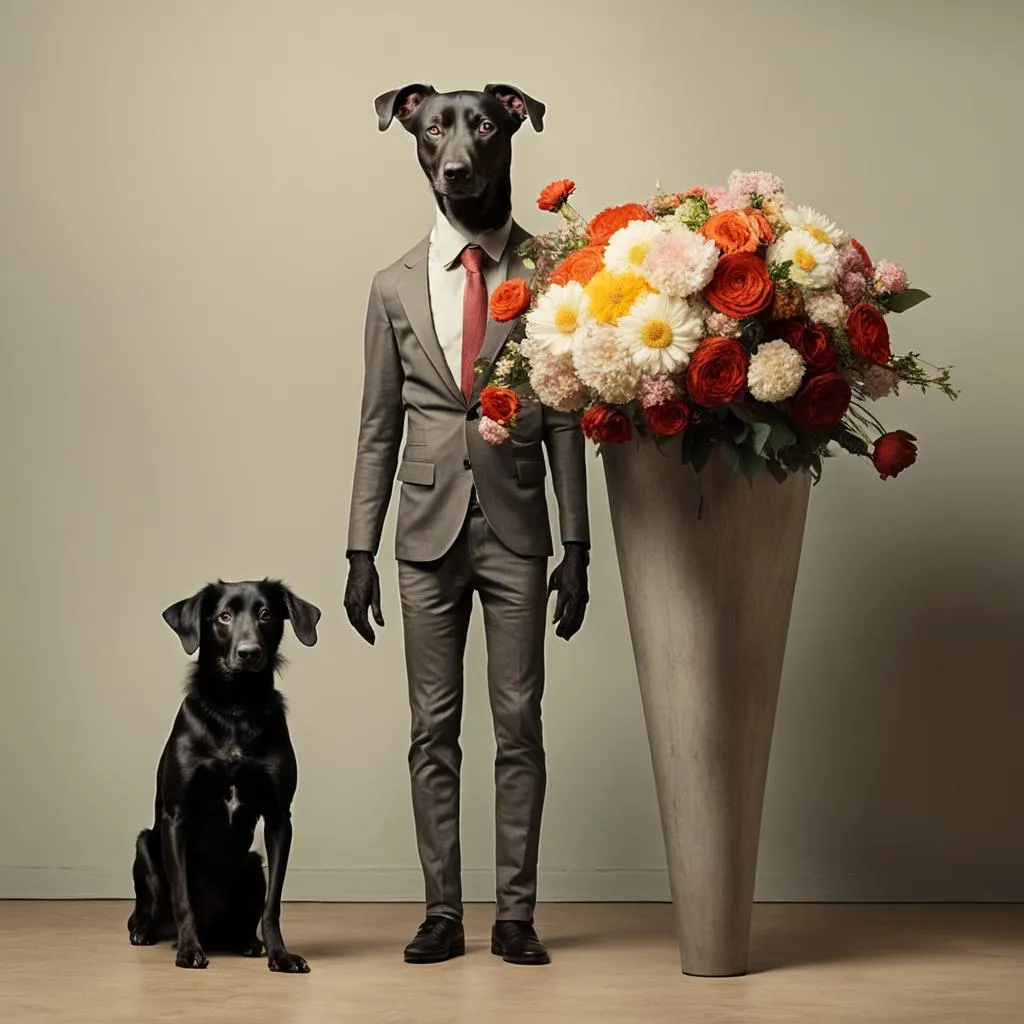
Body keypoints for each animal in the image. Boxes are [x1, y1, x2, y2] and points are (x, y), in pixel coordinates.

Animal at [127, 581, 319, 970]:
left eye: (266, 614)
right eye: (224, 617)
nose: (248, 653)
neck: (235, 708)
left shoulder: (280, 818)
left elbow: (272, 905)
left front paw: (280, 955)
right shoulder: (176, 816)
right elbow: (182, 894)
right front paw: (189, 950)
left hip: (252, 865)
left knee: (243, 918)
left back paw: (247, 941)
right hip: (146, 847)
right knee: (150, 908)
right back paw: (147, 932)